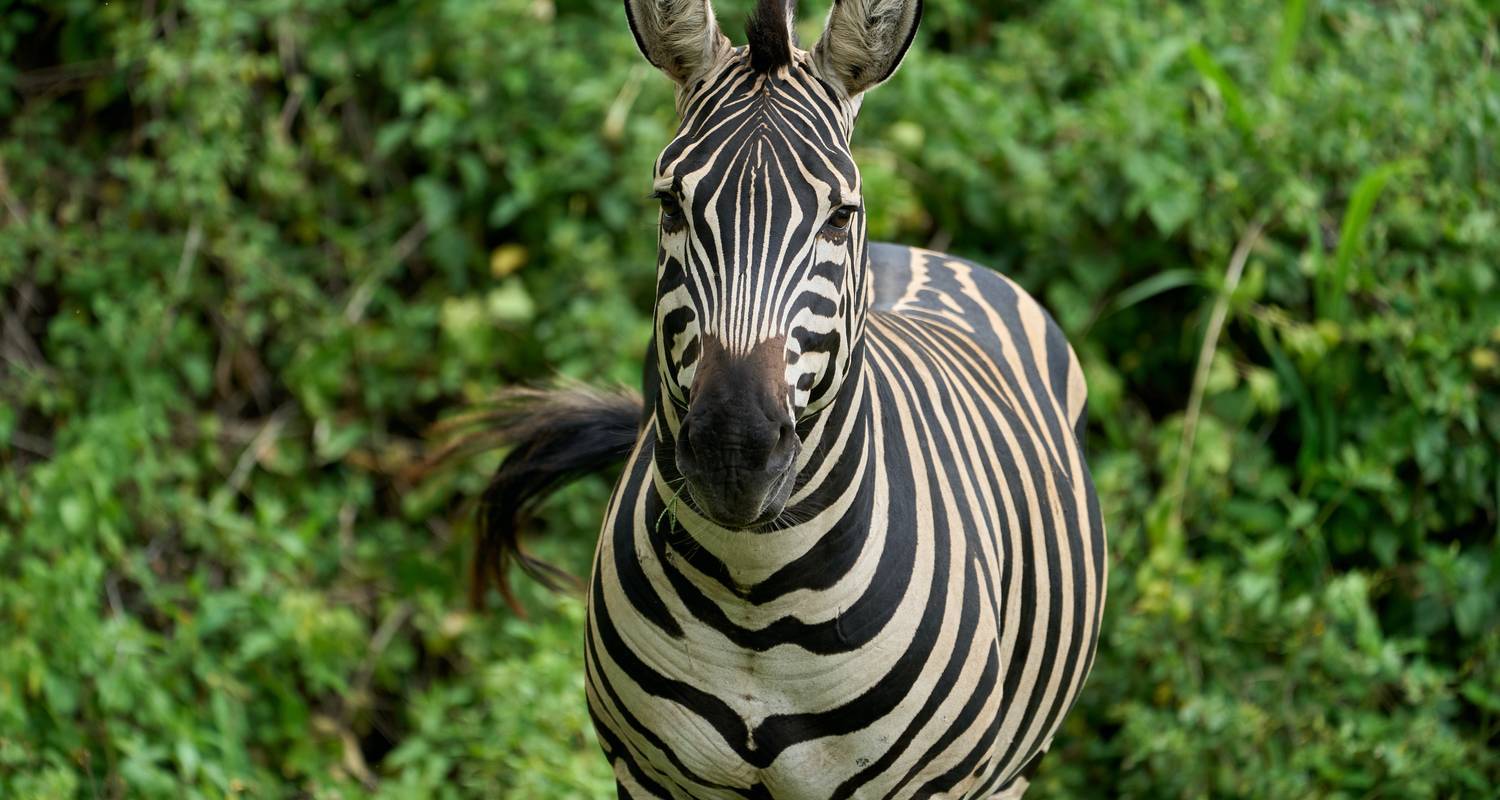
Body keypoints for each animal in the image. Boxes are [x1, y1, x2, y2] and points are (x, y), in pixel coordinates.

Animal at [474, 1, 1110, 792]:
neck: (755, 595)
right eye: (670, 206)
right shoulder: (645, 775)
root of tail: (922, 256)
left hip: (1013, 772)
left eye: (839, 216)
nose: (734, 451)